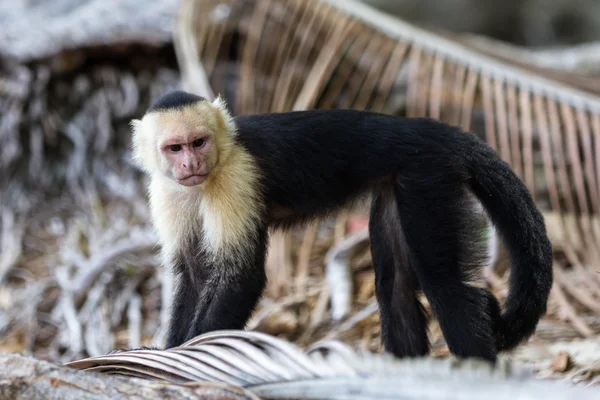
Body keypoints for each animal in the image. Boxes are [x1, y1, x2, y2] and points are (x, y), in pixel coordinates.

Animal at [131, 90, 552, 362]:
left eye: (198, 142)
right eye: (175, 148)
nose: (190, 164)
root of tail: (430, 129)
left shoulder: (236, 175)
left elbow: (240, 277)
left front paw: (188, 353)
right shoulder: (166, 191)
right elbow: (193, 272)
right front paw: (169, 352)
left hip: (429, 176)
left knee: (446, 287)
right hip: (399, 182)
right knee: (395, 285)